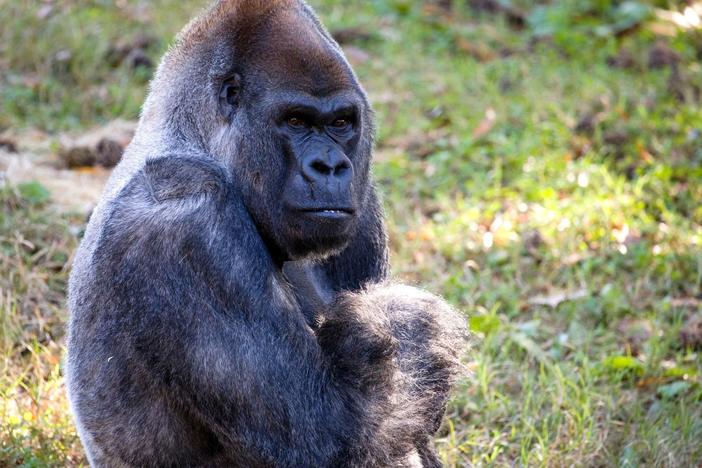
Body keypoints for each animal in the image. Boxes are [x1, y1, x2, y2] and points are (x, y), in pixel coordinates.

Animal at [66, 1, 470, 466]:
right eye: (295, 121)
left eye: (341, 123)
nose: (331, 166)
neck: (192, 136)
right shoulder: (186, 215)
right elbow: (329, 433)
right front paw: (410, 322)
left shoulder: (363, 204)